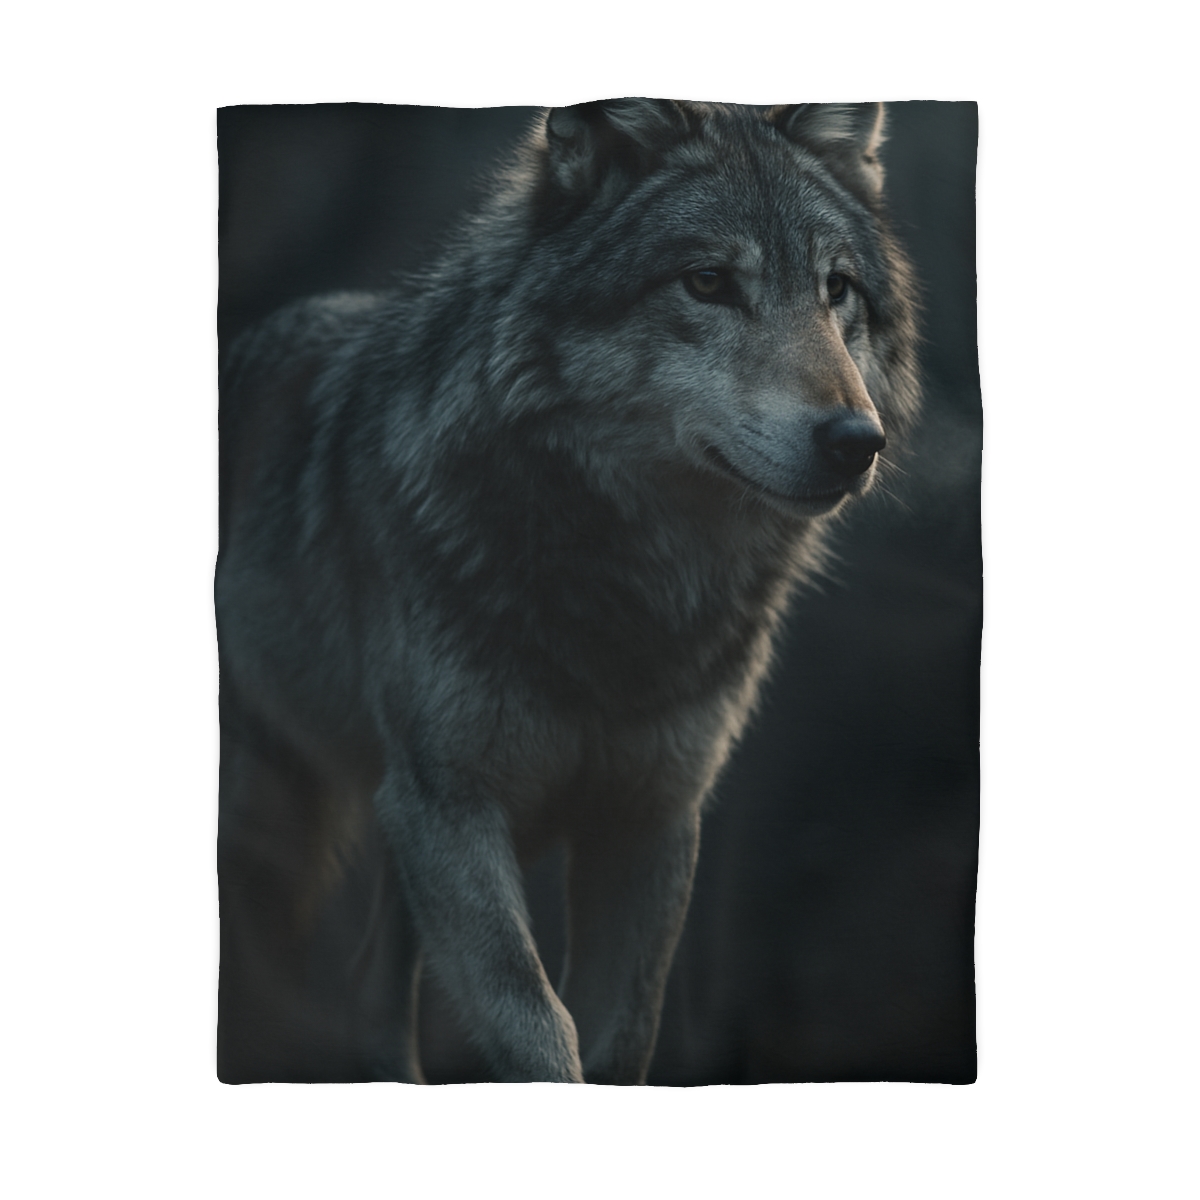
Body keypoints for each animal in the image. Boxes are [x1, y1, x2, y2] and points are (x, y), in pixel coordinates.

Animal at [216, 100, 920, 1084]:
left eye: (838, 289)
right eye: (708, 282)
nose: (858, 441)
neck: (625, 602)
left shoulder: (651, 821)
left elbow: (621, 1037)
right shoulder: (453, 810)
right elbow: (538, 1025)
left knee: (367, 991)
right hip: (274, 819)